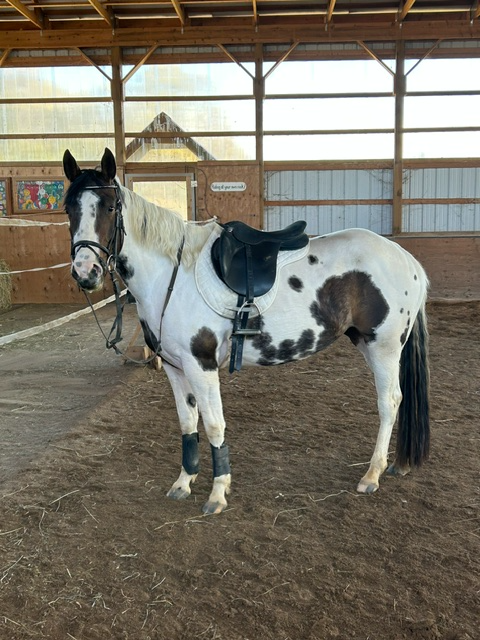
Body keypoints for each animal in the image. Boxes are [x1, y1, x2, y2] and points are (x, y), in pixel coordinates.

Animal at [62, 147, 430, 515]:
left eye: (110, 207)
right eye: (69, 208)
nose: (85, 272)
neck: (172, 275)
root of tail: (407, 259)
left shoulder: (201, 365)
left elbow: (213, 425)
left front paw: (217, 493)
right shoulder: (175, 368)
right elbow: (187, 423)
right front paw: (184, 482)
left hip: (383, 348)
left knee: (389, 402)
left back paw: (372, 474)